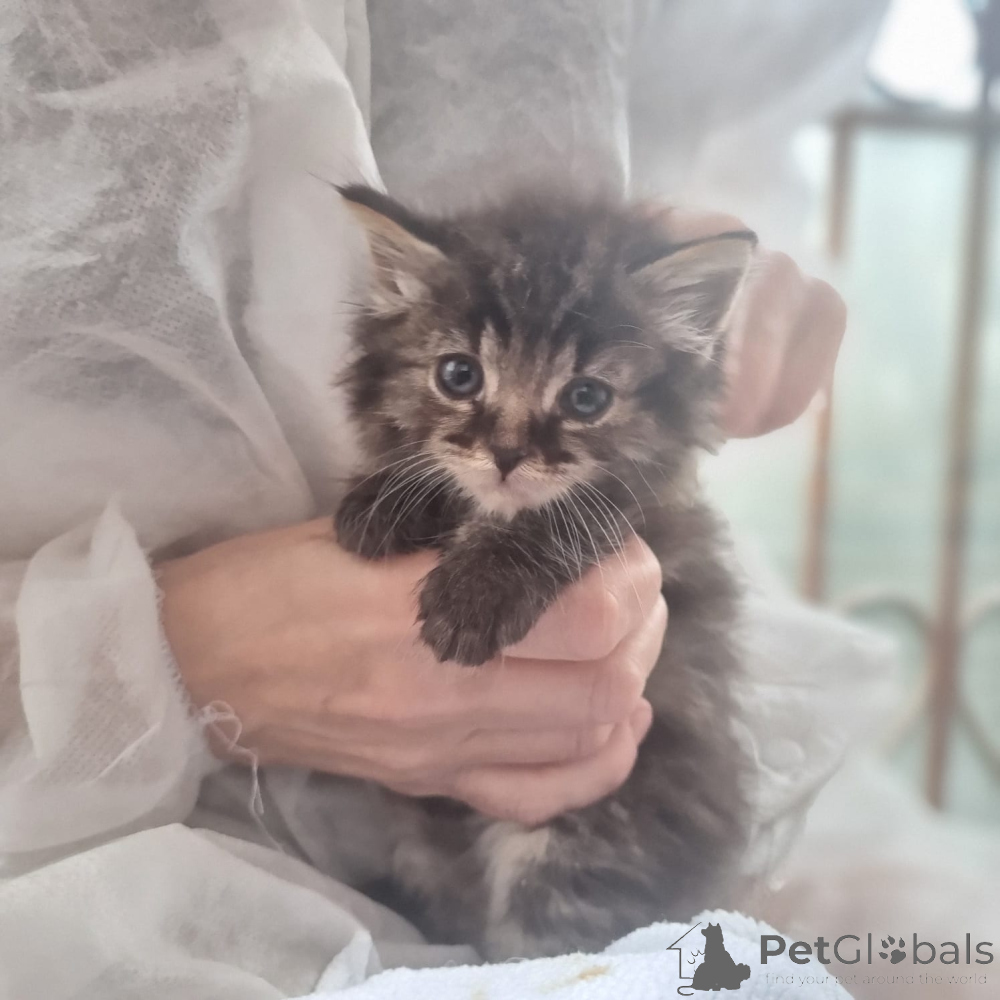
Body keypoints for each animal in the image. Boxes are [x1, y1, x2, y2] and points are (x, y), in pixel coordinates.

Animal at [322, 183, 755, 960]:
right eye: (458, 375)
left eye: (586, 398)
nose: (505, 455)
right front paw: (381, 502)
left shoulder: (649, 519)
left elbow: (561, 517)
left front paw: (475, 593)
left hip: (595, 832)